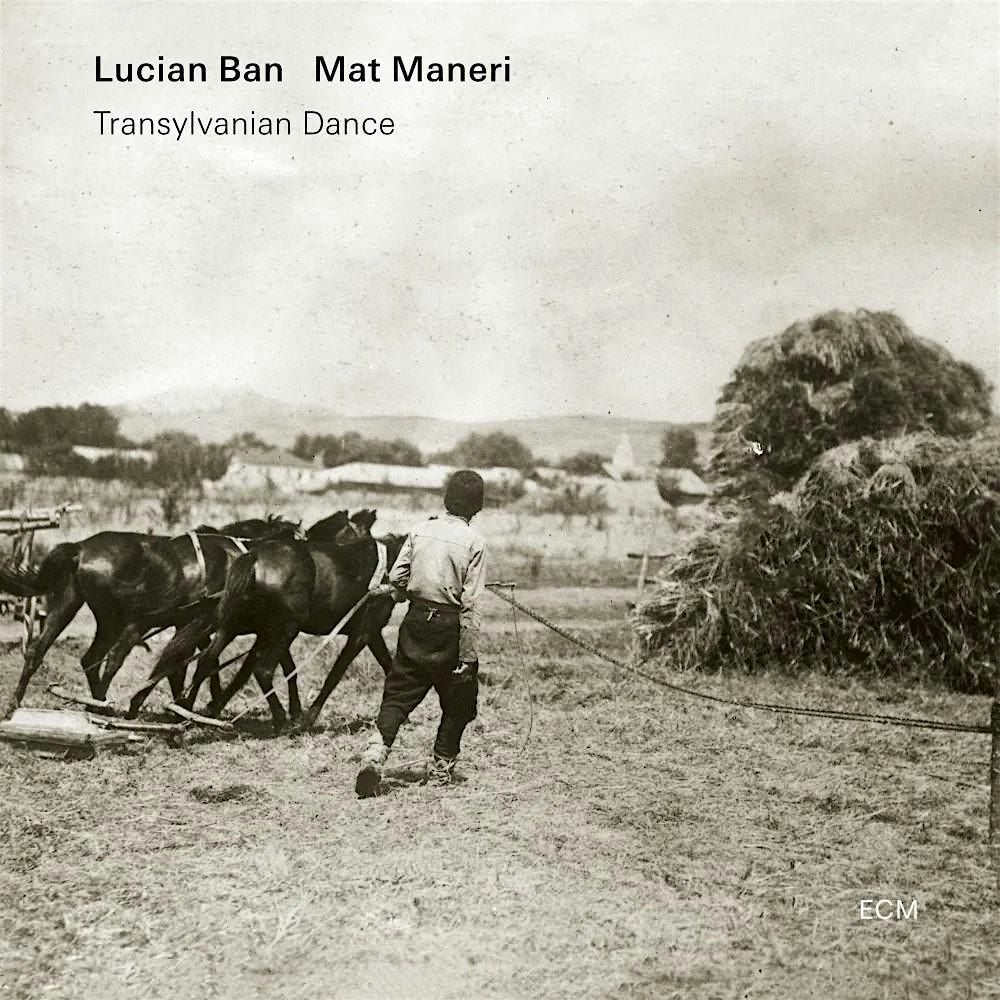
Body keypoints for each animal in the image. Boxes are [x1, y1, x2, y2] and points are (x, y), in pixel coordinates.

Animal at [0, 516, 300, 712]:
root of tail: (81, 547)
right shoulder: (207, 622)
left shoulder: (190, 623)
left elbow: (184, 665)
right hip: (115, 621)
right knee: (106, 661)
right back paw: (100, 707)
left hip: (69, 604)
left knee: (44, 652)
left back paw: (17, 705)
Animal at [124, 509, 374, 720]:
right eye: (363, 535)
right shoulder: (273, 629)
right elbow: (273, 668)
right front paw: (292, 711)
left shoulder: (264, 630)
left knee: (175, 661)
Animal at [186, 518, 405, 732]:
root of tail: (254, 558)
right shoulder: (363, 633)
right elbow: (335, 674)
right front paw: (307, 719)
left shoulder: (373, 633)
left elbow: (388, 665)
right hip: (287, 628)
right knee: (263, 670)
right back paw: (281, 720)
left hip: (237, 625)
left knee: (207, 661)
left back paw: (189, 713)